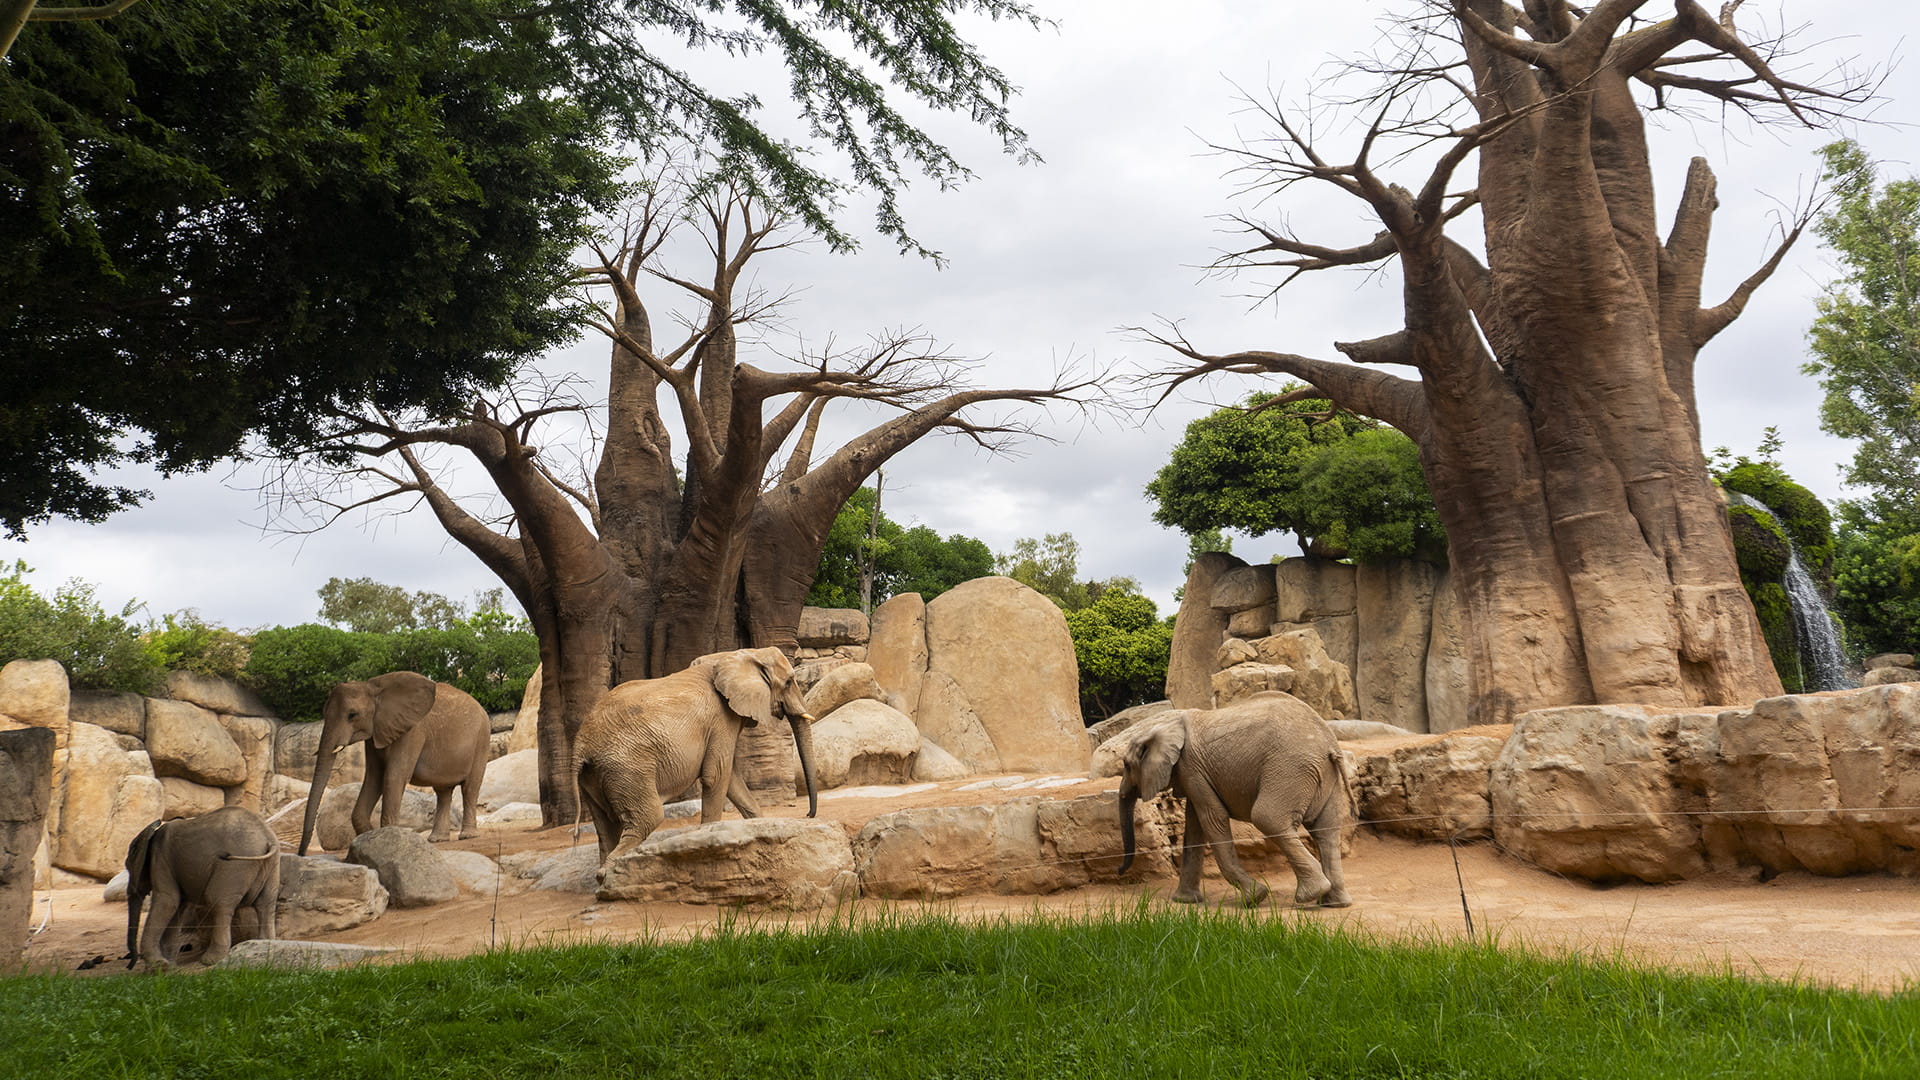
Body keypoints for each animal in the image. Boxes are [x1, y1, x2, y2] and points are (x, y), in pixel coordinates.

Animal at [124, 806, 280, 969]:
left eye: (127, 867)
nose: (129, 965)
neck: (152, 832)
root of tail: (266, 837)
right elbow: (179, 907)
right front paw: (169, 966)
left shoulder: (161, 859)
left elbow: (168, 901)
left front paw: (160, 965)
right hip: (271, 865)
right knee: (266, 903)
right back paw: (264, 946)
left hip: (235, 866)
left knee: (218, 903)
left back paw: (209, 960)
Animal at [298, 671, 491, 855]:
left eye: (352, 715)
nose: (301, 854)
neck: (372, 686)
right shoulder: (375, 733)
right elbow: (374, 778)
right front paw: (370, 836)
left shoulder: (412, 731)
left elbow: (394, 776)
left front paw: (386, 839)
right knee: (443, 792)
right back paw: (437, 839)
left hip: (481, 740)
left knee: (469, 788)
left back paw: (467, 836)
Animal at [574, 647, 819, 867]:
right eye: (789, 682)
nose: (808, 815)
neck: (738, 654)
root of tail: (580, 746)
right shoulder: (720, 718)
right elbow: (717, 775)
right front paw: (706, 840)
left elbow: (730, 778)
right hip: (627, 769)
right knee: (647, 818)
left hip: (594, 777)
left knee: (606, 827)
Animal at [1113, 692, 1352, 908]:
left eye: (1126, 765)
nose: (1119, 871)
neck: (1163, 726)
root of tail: (1330, 745)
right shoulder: (1194, 775)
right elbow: (1195, 827)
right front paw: (1184, 901)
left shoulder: (1191, 768)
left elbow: (1212, 819)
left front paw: (1255, 898)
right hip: (1323, 776)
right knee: (1326, 829)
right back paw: (1335, 903)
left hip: (1290, 768)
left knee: (1267, 818)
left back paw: (1311, 895)